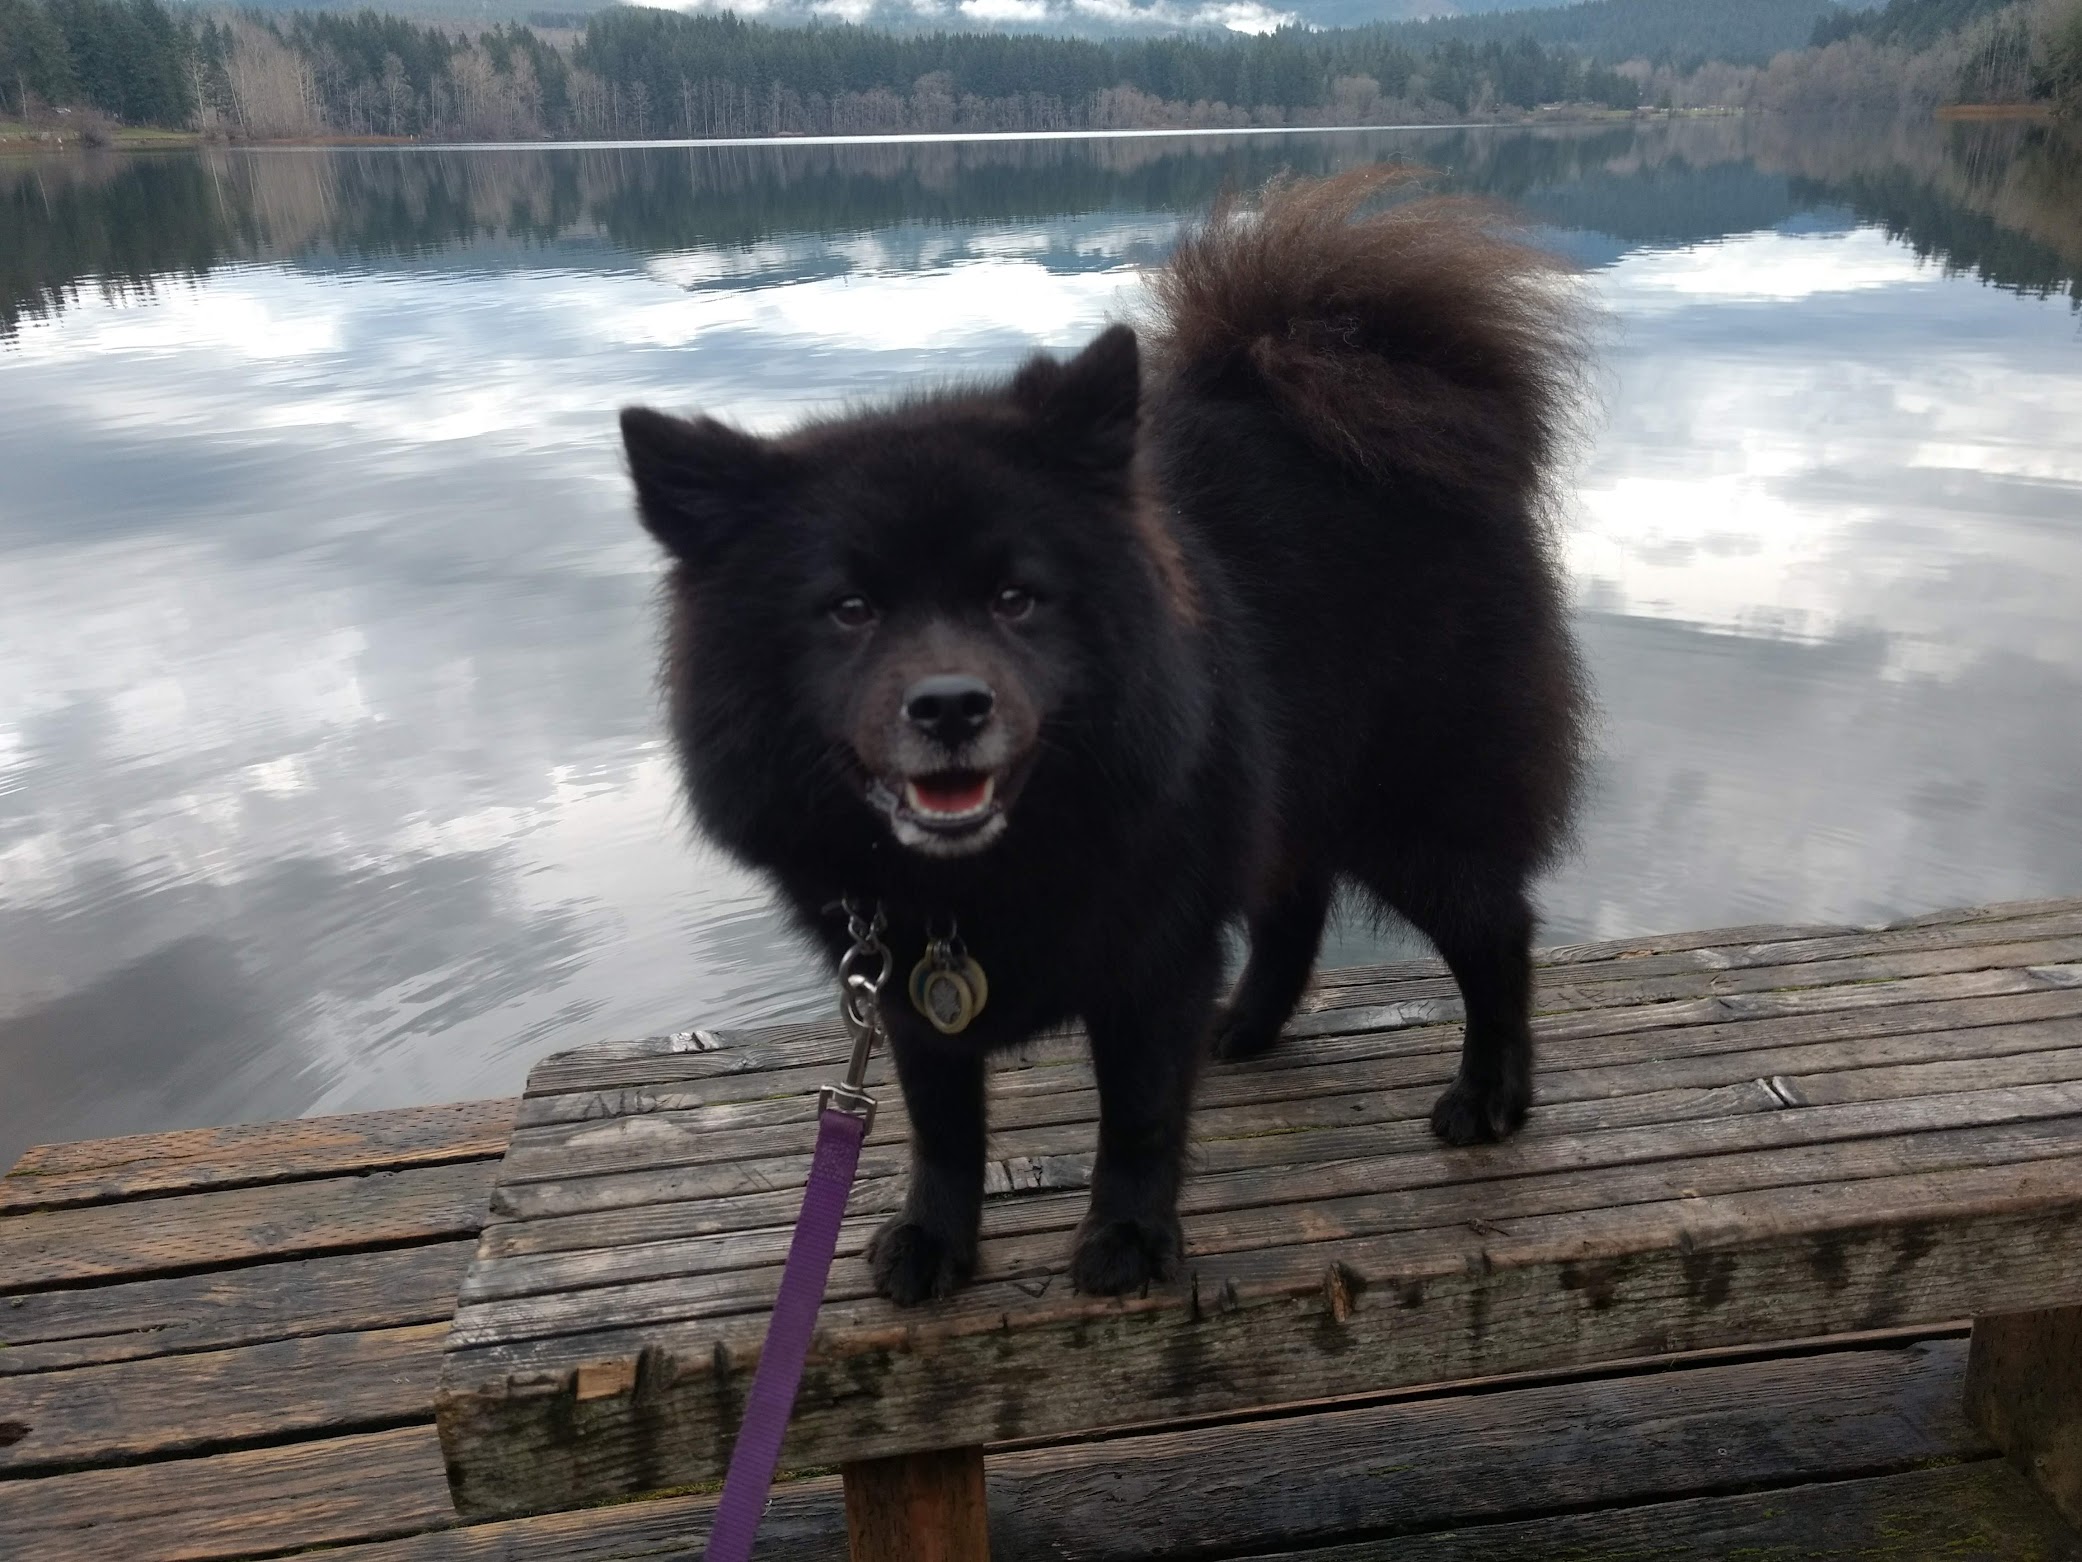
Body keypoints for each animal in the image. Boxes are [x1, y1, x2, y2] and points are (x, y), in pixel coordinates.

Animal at [624, 168, 1582, 1307]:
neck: (984, 874)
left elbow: (1138, 1112)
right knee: (1296, 901)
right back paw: (1244, 1025)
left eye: (1016, 597)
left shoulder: (1151, 953)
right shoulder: (908, 989)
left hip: (1412, 808)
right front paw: (934, 1237)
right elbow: (942, 1124)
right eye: (850, 609)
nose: (950, 705)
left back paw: (1490, 1092)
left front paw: (1127, 1235)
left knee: (1495, 932)